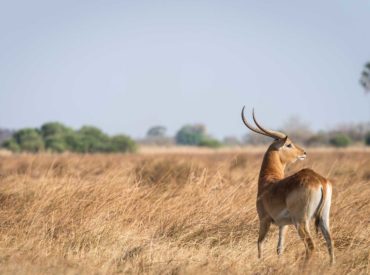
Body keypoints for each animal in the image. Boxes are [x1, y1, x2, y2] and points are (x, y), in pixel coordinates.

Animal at [241, 107, 334, 266]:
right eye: (288, 144)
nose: (304, 152)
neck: (268, 183)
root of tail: (319, 180)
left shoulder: (264, 219)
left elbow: (260, 243)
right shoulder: (282, 225)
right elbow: (279, 248)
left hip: (301, 221)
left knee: (311, 245)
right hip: (323, 218)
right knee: (329, 242)